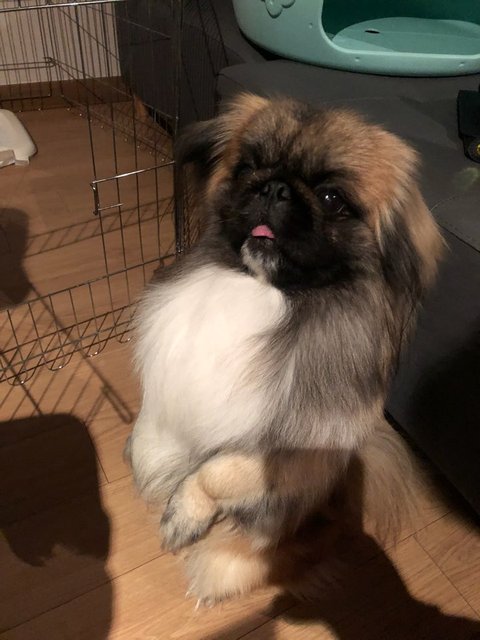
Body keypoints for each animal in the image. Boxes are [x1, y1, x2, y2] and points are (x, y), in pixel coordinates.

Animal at [127, 93, 443, 604]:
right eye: (246, 168)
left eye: (332, 198)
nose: (273, 188)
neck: (263, 292)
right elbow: (149, 436)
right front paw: (148, 462)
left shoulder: (296, 451)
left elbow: (217, 472)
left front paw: (182, 516)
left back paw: (223, 563)